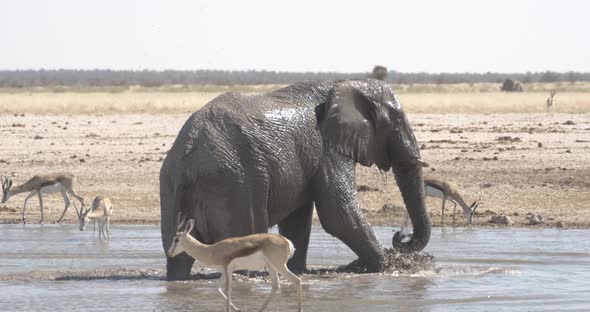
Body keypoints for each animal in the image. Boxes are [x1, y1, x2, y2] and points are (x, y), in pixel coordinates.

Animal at [160, 78, 432, 280]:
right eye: (397, 121)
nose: (401, 236)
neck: (344, 84)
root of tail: (190, 155)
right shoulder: (326, 148)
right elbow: (339, 214)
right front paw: (386, 267)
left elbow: (297, 222)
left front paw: (295, 271)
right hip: (235, 183)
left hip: (173, 185)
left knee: (178, 257)